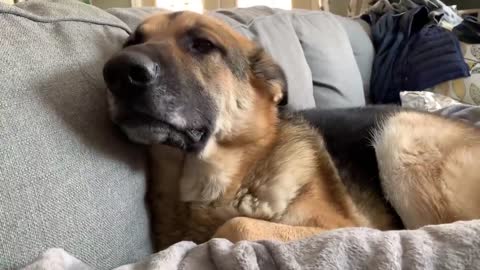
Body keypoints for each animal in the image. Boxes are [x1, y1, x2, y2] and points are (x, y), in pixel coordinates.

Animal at [103, 10, 480, 250]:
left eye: (202, 45)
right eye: (132, 42)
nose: (117, 71)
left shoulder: (345, 227)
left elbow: (236, 224)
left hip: (401, 135)